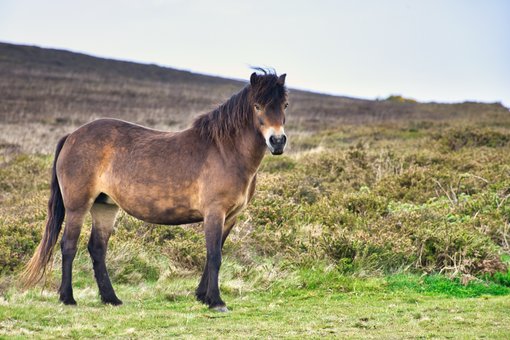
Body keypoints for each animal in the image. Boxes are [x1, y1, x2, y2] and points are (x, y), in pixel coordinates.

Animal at [21, 70, 288, 312]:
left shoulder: (230, 217)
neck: (225, 151)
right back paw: (68, 298)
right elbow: (214, 255)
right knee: (68, 245)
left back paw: (111, 298)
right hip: (77, 206)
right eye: (257, 106)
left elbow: (215, 253)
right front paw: (216, 301)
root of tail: (71, 136)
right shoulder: (215, 212)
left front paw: (202, 296)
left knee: (97, 248)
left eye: (284, 104)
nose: (277, 141)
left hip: (105, 207)